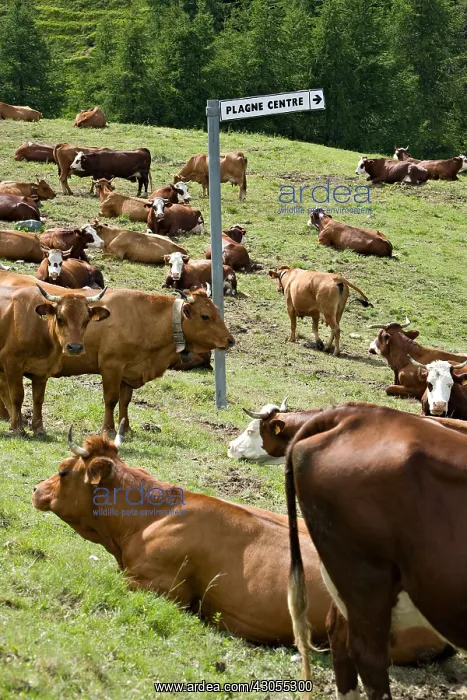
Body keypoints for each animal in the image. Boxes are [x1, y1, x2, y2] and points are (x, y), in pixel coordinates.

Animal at [0, 286, 109, 435]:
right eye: (60, 318)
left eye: (86, 321)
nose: (75, 347)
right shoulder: (12, 362)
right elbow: (17, 396)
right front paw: (18, 429)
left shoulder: (42, 371)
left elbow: (38, 399)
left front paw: (38, 428)